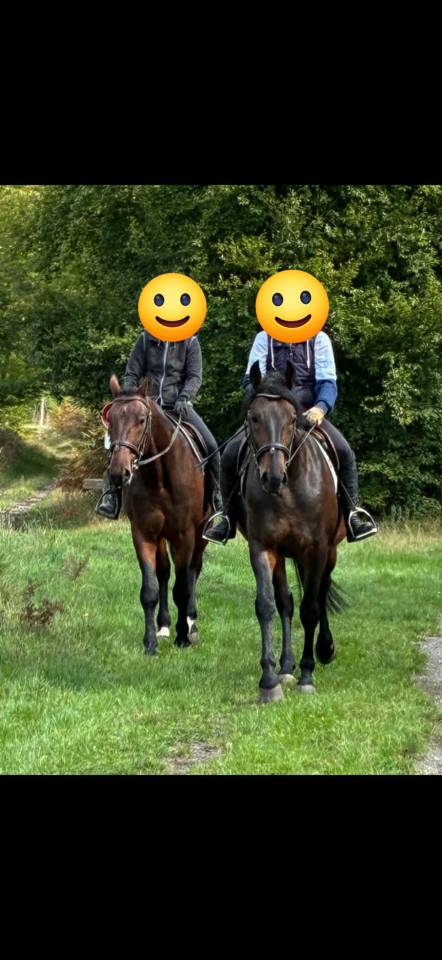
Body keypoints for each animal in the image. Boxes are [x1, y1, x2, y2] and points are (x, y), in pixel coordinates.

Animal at [104, 374, 210, 653]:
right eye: (111, 419)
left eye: (141, 420)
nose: (119, 473)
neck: (160, 476)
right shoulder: (144, 534)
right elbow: (150, 589)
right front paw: (150, 642)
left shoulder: (185, 536)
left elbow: (182, 588)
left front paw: (183, 637)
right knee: (164, 573)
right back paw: (164, 626)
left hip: (200, 535)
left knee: (193, 571)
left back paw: (191, 623)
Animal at [234, 360, 347, 703]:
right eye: (254, 417)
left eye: (292, 419)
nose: (272, 477)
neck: (290, 491)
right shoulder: (262, 548)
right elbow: (267, 605)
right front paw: (269, 680)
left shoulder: (318, 549)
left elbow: (311, 609)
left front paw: (307, 675)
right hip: (283, 555)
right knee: (285, 601)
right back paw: (285, 666)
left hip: (330, 552)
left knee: (320, 593)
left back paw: (325, 649)